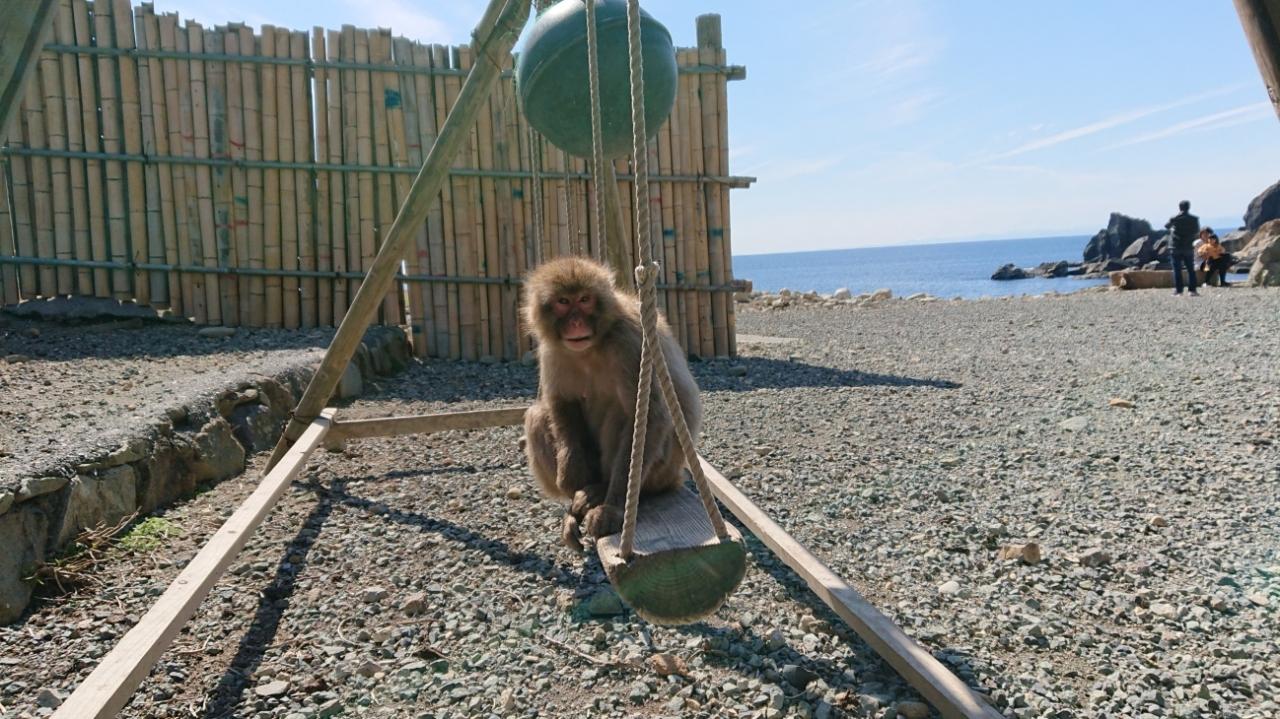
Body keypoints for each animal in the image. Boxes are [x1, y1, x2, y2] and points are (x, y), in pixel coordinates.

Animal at [521, 256, 701, 549]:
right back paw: (578, 499)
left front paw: (613, 509)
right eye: (563, 302)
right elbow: (561, 402)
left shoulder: (628, 341)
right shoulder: (551, 349)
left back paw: (601, 491)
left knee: (622, 414)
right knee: (536, 417)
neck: (592, 345)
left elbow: (650, 414)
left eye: (585, 300)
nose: (576, 322)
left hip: (660, 471)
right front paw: (571, 472)